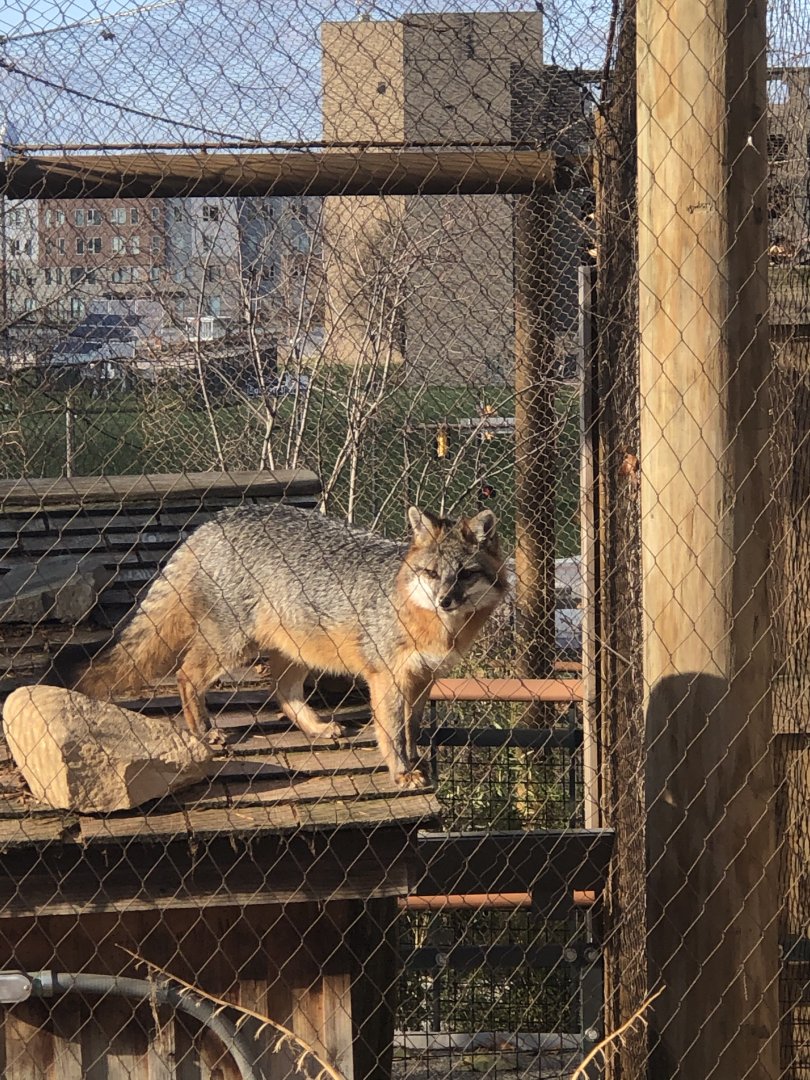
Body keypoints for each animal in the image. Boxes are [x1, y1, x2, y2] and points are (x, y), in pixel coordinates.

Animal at [75, 503, 508, 788]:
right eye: (432, 573)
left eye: (464, 575)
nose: (444, 600)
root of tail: (213, 522)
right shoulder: (387, 677)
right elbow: (392, 731)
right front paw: (401, 771)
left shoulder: (423, 678)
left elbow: (412, 727)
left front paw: (416, 761)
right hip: (232, 646)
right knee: (186, 674)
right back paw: (204, 732)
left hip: (296, 652)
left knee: (281, 690)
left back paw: (316, 728)